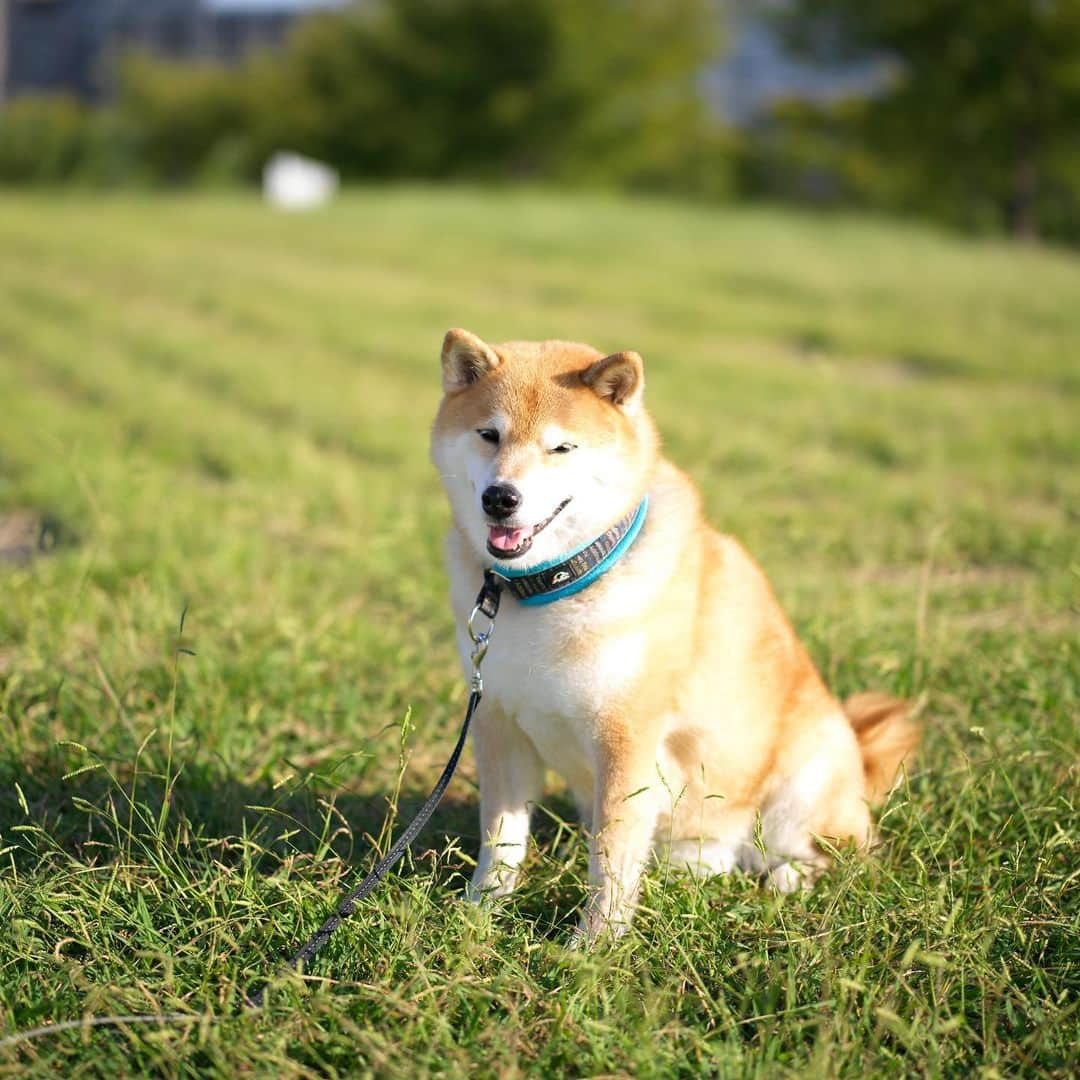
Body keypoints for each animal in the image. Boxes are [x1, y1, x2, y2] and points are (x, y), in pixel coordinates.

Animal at [429, 326, 920, 937]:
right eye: (489, 434)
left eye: (562, 448)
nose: (501, 497)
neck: (550, 588)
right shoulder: (498, 721)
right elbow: (502, 839)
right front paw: (478, 914)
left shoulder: (626, 736)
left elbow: (611, 856)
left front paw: (594, 944)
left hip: (803, 780)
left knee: (845, 854)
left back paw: (789, 876)